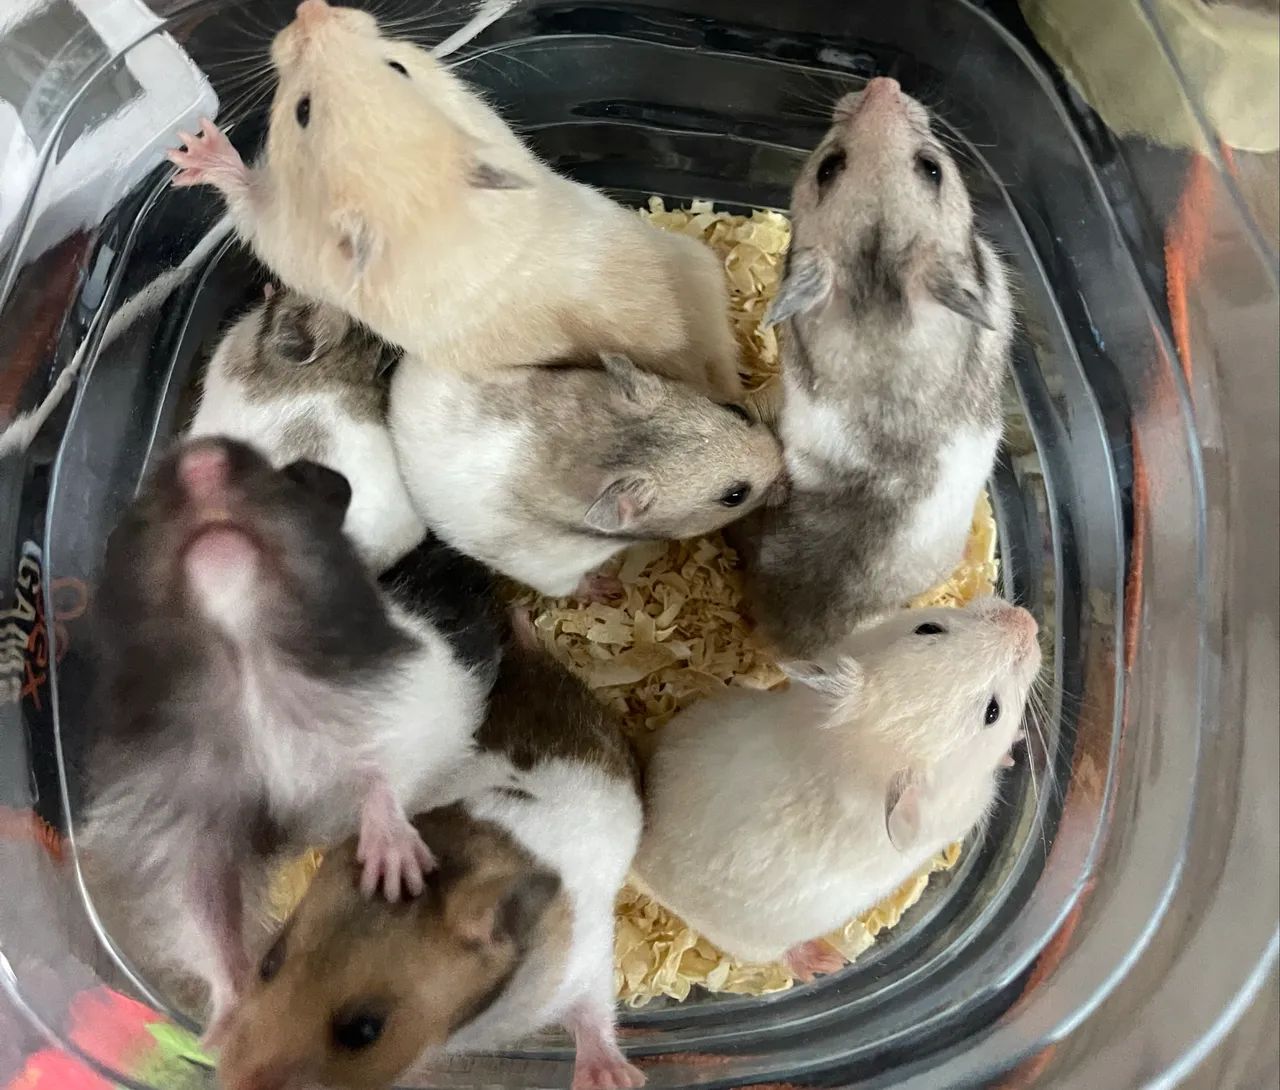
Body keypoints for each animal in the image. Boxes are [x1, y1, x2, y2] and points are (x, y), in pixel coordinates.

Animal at [77, 438, 493, 1038]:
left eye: (284, 480)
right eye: (140, 508)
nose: (201, 457)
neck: (247, 663)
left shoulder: (414, 709)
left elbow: (381, 779)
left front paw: (393, 875)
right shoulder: (187, 828)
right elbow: (208, 917)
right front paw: (219, 1030)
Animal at [166, 0, 744, 404]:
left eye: (396, 66)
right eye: (304, 109)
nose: (309, 7)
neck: (429, 209)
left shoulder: (292, 246)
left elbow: (251, 207)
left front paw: (193, 148)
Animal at [216, 621, 645, 1090]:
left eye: (364, 1030)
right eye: (268, 962)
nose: (230, 1081)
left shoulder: (587, 959)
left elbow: (593, 1013)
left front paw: (616, 1079)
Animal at [391, 351, 783, 598]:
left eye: (737, 410)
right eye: (735, 496)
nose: (782, 463)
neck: (593, 452)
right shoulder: (549, 568)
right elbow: (571, 587)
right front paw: (609, 589)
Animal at [631, 597, 1040, 974]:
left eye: (928, 627)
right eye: (993, 712)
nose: (1030, 620)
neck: (853, 752)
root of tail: (643, 860)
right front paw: (1013, 747)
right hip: (751, 943)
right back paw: (825, 962)